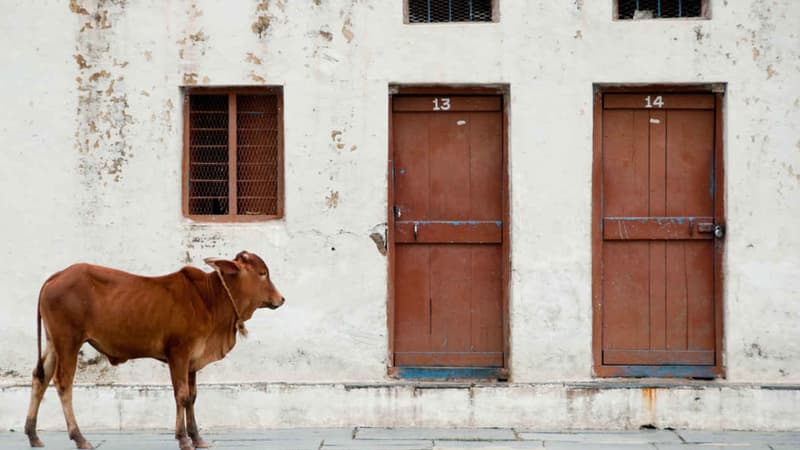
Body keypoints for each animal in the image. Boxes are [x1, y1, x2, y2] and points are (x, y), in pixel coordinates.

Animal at [24, 251, 284, 448]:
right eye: (263, 273)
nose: (280, 299)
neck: (210, 299)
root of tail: (57, 276)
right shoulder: (179, 353)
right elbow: (181, 395)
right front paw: (183, 439)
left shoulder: (192, 361)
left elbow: (192, 397)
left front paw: (197, 438)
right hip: (68, 341)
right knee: (63, 384)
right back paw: (79, 438)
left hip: (54, 343)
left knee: (40, 378)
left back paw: (33, 435)